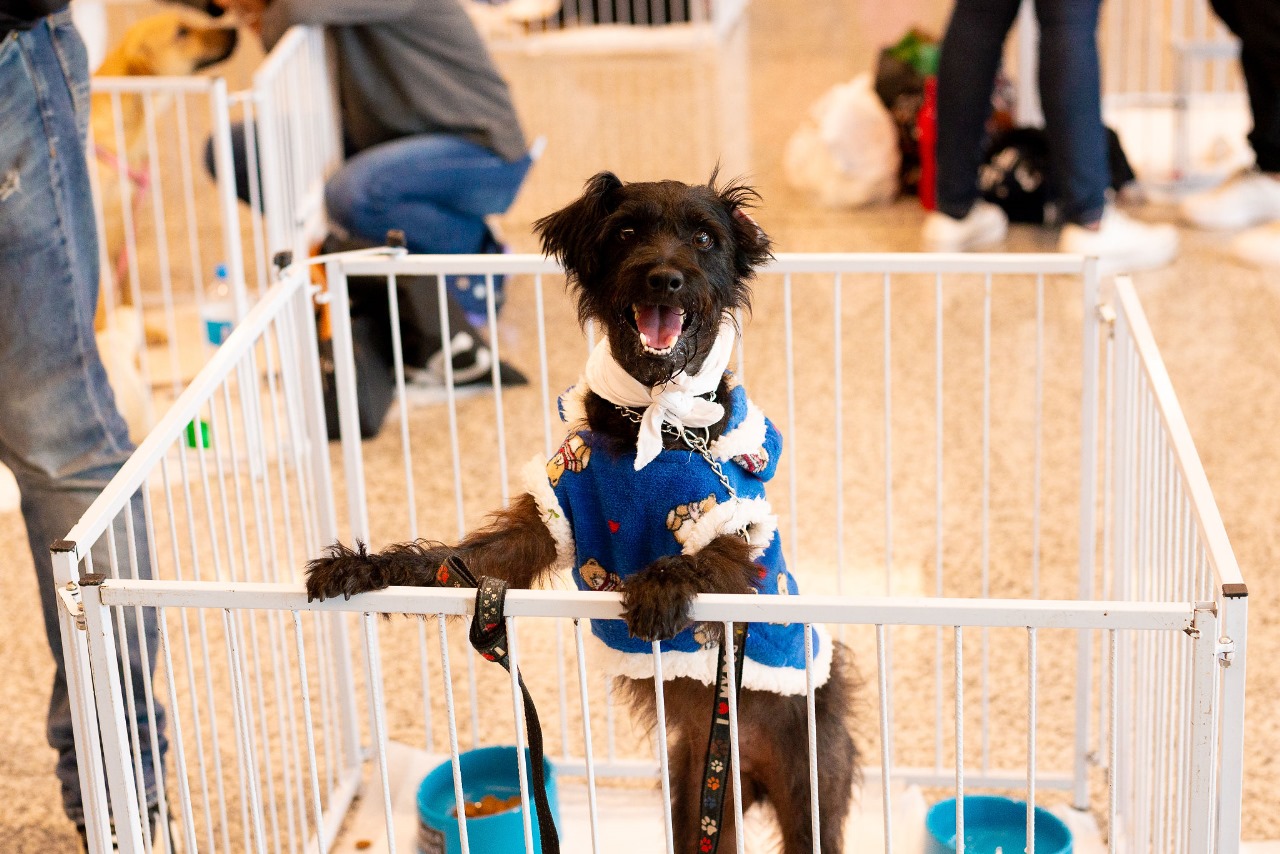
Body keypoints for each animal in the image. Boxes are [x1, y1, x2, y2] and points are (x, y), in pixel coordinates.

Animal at [304, 170, 855, 850]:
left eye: (704, 238)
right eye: (625, 232)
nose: (665, 278)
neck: (653, 417)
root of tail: (747, 762)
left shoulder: (731, 529)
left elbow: (702, 563)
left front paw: (658, 590)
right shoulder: (548, 516)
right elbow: (451, 559)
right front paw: (363, 567)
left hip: (809, 789)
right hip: (700, 800)